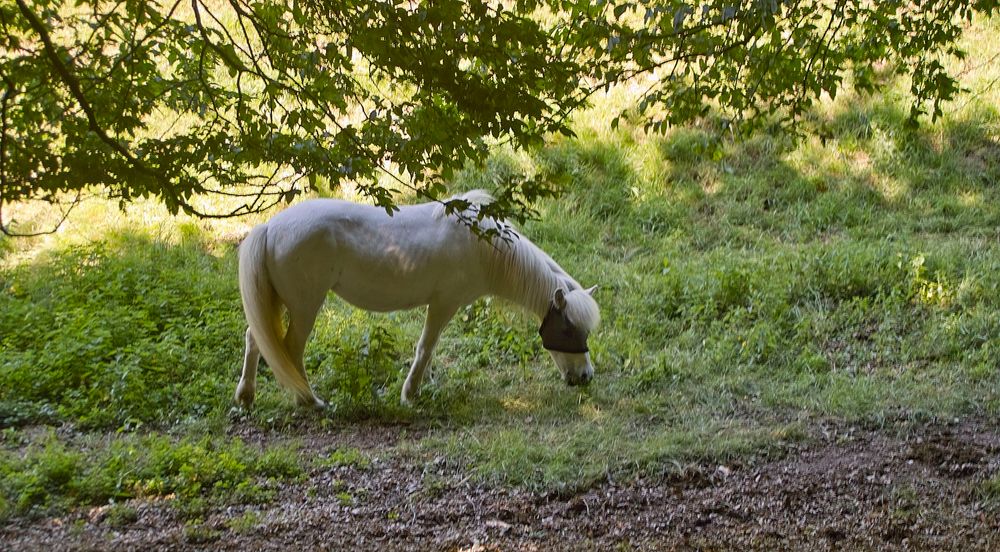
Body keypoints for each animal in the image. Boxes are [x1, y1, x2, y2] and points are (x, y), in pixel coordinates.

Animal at [234, 191, 596, 410]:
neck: (481, 243)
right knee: (291, 349)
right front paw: (410, 394)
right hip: (305, 306)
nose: (585, 377)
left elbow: (429, 350)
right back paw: (309, 400)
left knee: (255, 339)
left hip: (281, 303)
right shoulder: (444, 303)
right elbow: (426, 346)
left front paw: (423, 385)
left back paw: (247, 397)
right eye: (568, 330)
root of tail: (269, 227)